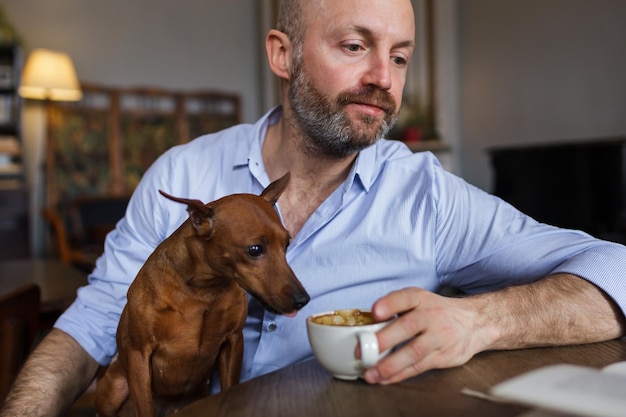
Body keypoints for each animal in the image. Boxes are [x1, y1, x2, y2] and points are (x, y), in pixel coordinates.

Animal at [94, 173, 308, 416]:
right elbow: (145, 408)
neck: (204, 292)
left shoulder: (233, 342)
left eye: (287, 244)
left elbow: (229, 387)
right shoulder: (139, 353)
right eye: (255, 250)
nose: (302, 300)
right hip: (114, 389)